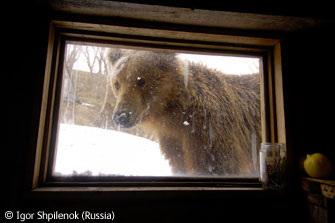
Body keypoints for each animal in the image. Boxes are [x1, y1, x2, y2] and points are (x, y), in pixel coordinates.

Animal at [106, 48, 262, 176]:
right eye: (117, 83)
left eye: (141, 80)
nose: (121, 116)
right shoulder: (173, 141)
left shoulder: (209, 134)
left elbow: (219, 166)